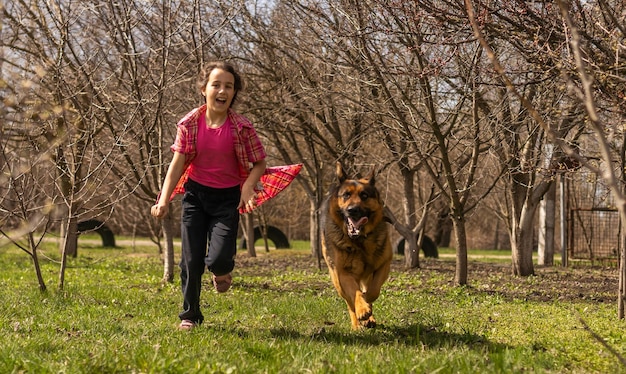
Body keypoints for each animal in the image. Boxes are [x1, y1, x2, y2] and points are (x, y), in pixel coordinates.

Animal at [322, 162, 390, 328]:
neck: (359, 241)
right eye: (346, 195)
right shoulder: (344, 274)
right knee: (349, 302)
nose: (352, 210)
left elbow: (373, 291)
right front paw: (362, 309)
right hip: (337, 281)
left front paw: (367, 304)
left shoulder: (384, 264)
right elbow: (355, 293)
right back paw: (357, 323)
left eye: (364, 196)